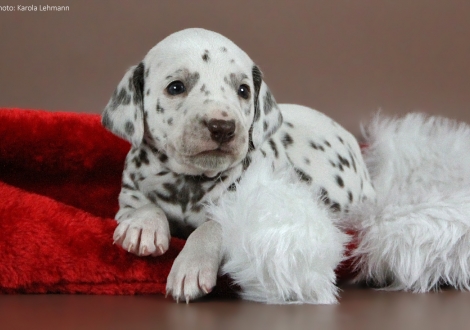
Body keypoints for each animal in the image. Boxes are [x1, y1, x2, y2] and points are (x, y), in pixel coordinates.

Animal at [102, 27, 374, 302]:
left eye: (243, 90)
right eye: (176, 87)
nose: (222, 127)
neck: (188, 182)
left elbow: (212, 227)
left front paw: (191, 265)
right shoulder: (128, 197)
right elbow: (143, 206)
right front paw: (142, 225)